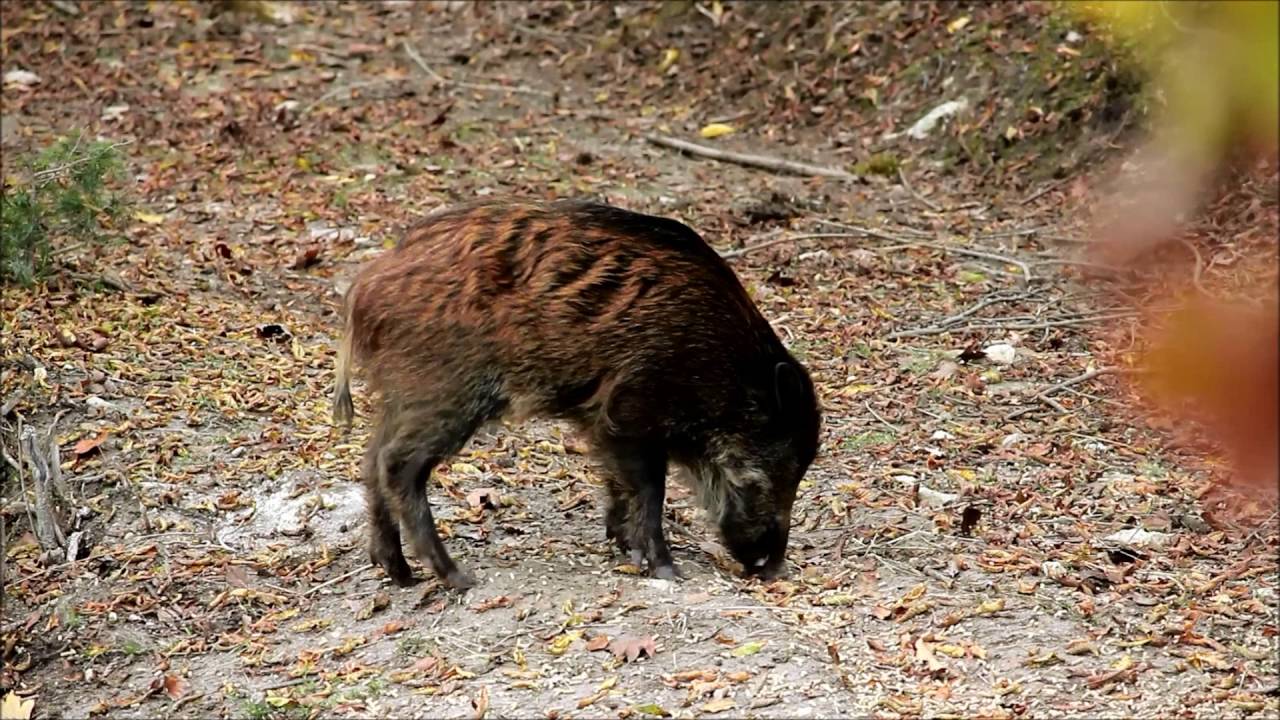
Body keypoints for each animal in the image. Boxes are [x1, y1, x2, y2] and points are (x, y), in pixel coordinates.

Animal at [332, 198, 821, 589]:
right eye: (783, 462)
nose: (772, 567)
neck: (721, 369)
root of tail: (366, 285)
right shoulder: (631, 410)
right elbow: (650, 491)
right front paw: (667, 571)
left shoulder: (604, 422)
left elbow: (618, 484)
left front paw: (626, 548)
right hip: (444, 393)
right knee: (396, 467)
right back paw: (458, 578)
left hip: (402, 396)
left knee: (371, 462)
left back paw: (399, 574)